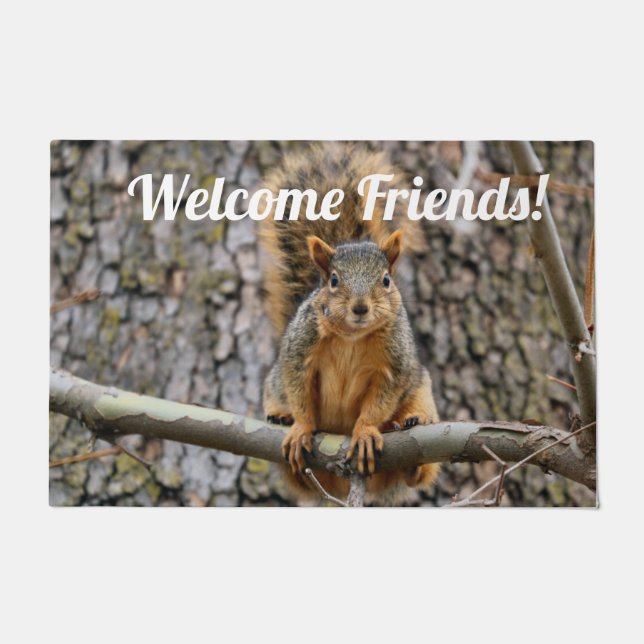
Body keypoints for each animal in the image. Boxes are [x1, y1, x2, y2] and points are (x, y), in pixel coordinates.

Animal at [258, 142, 440, 505]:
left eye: (386, 280)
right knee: (299, 479)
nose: (359, 307)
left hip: (421, 394)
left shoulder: (395, 365)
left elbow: (379, 401)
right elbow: (299, 389)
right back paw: (281, 418)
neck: (352, 337)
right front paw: (300, 427)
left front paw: (366, 431)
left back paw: (413, 434)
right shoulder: (300, 349)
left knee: (416, 473)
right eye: (333, 280)